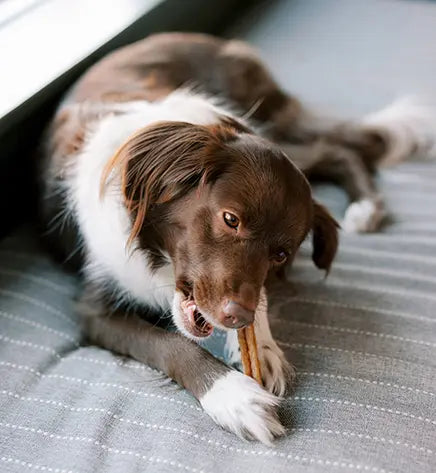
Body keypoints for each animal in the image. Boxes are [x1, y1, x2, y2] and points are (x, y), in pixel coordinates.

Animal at [39, 32, 436, 444]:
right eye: (230, 219)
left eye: (281, 254)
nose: (237, 317)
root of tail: (210, 40)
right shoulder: (94, 310)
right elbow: (171, 344)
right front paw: (234, 397)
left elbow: (257, 295)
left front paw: (261, 345)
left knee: (335, 149)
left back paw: (365, 206)